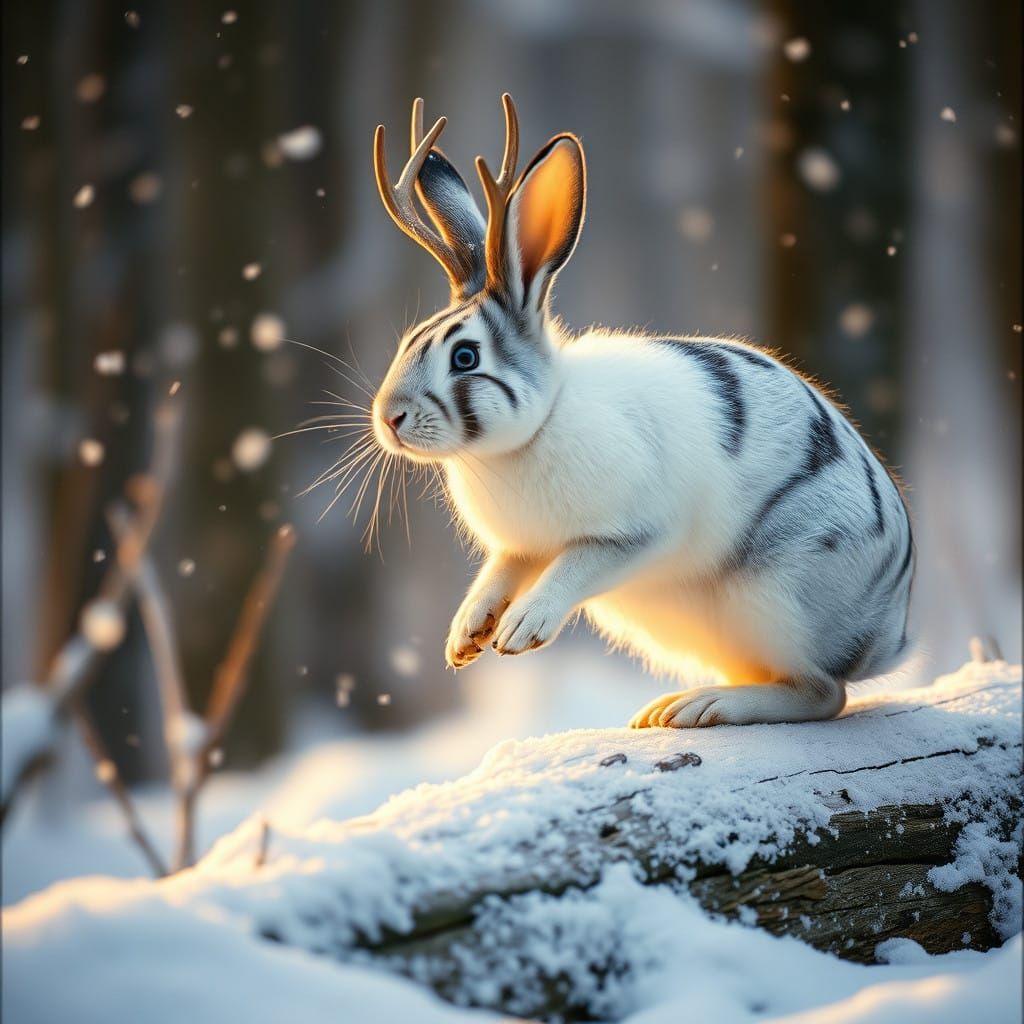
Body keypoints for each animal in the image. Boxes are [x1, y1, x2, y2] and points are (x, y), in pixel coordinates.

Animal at [368, 94, 914, 728]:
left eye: (464, 356)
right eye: (408, 341)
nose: (388, 418)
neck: (538, 426)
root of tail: (889, 631)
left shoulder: (634, 534)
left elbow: (575, 568)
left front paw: (521, 629)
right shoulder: (520, 548)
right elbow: (498, 574)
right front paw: (465, 637)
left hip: (773, 597)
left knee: (824, 692)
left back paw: (701, 708)